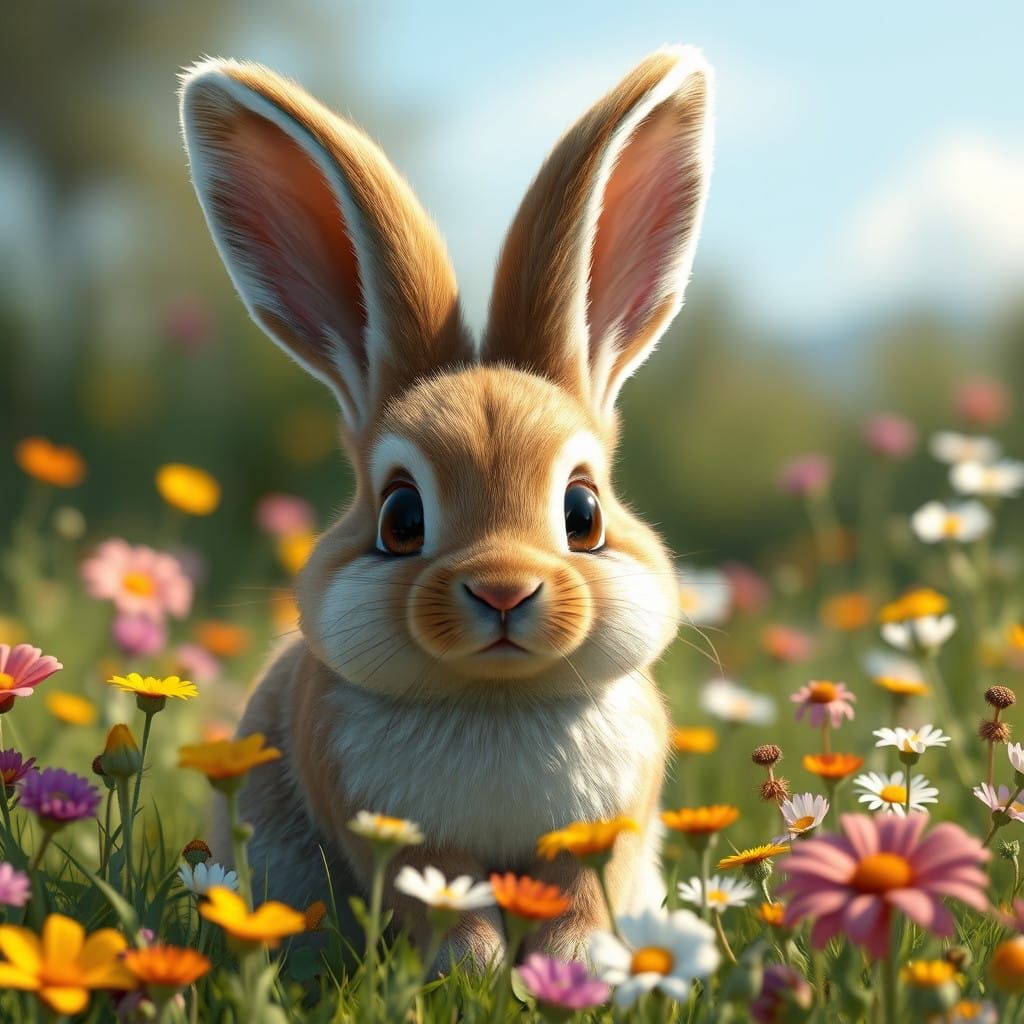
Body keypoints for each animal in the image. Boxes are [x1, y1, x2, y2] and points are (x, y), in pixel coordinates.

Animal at [179, 44, 713, 968]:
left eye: (583, 513)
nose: (502, 591)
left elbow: (582, 900)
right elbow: (443, 903)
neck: (493, 698)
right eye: (402, 520)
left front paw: (577, 965)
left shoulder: (599, 840)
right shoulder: (400, 846)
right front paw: (477, 968)